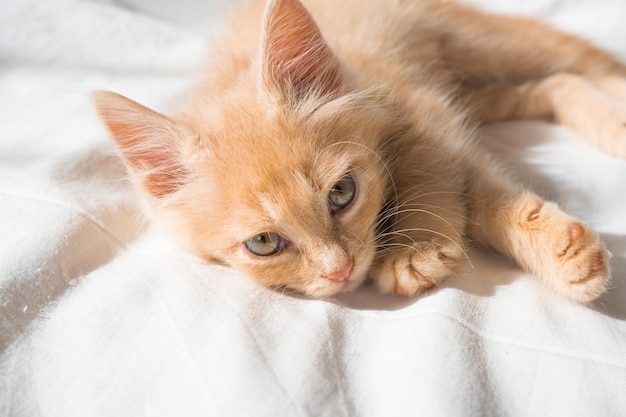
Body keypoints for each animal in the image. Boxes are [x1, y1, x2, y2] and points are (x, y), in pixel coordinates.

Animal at [91, 0, 624, 300]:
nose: (341, 270)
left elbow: (442, 179)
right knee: (553, 84)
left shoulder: (431, 117)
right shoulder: (442, 112)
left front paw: (415, 247)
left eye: (341, 193)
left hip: (482, 43)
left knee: (586, 61)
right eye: (263, 243)